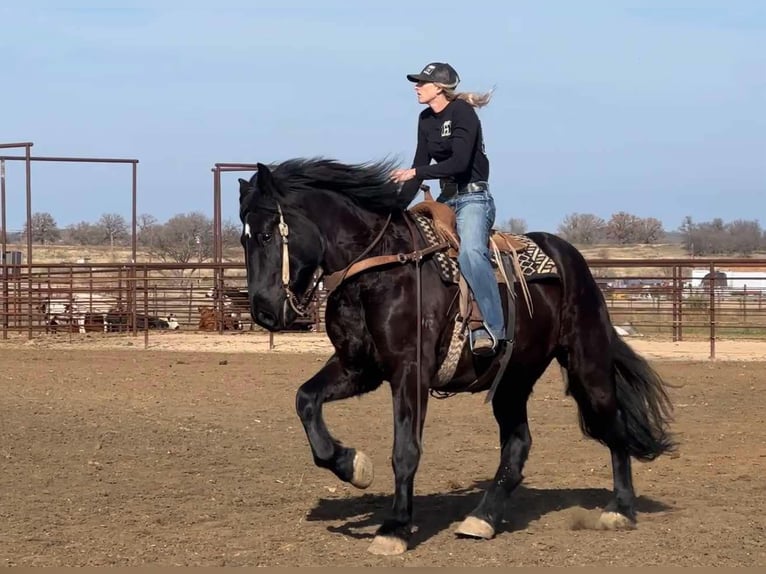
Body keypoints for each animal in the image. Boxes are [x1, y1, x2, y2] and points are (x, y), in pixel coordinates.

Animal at [237, 158, 676, 556]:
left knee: (612, 424)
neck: (379, 269)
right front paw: (353, 466)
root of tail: (572, 260)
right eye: (242, 238)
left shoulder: (410, 372)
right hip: (513, 379)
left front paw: (394, 528)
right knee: (518, 444)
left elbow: (405, 450)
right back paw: (482, 518)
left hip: (587, 363)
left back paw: (620, 509)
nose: (263, 311)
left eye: (266, 234)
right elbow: (306, 400)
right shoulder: (358, 367)